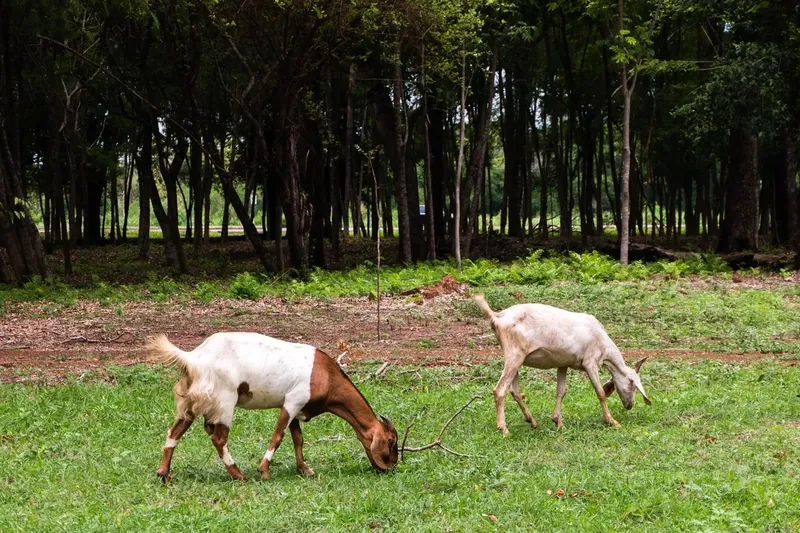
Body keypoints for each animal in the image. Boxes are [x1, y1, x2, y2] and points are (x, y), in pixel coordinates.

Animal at [147, 332, 399, 482]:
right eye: (391, 441)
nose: (391, 468)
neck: (326, 375)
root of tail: (194, 357)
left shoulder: (296, 408)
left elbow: (298, 439)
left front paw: (304, 469)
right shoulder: (294, 400)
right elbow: (278, 436)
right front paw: (264, 470)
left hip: (190, 400)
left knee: (174, 431)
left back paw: (163, 473)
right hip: (224, 399)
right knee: (218, 439)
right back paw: (238, 474)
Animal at [474, 295, 651, 435]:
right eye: (634, 386)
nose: (630, 405)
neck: (604, 346)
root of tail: (497, 316)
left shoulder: (563, 363)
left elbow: (561, 391)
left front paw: (558, 422)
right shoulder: (590, 362)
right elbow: (600, 392)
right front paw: (611, 421)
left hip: (515, 357)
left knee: (514, 391)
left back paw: (532, 421)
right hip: (514, 354)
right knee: (500, 390)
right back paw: (503, 428)